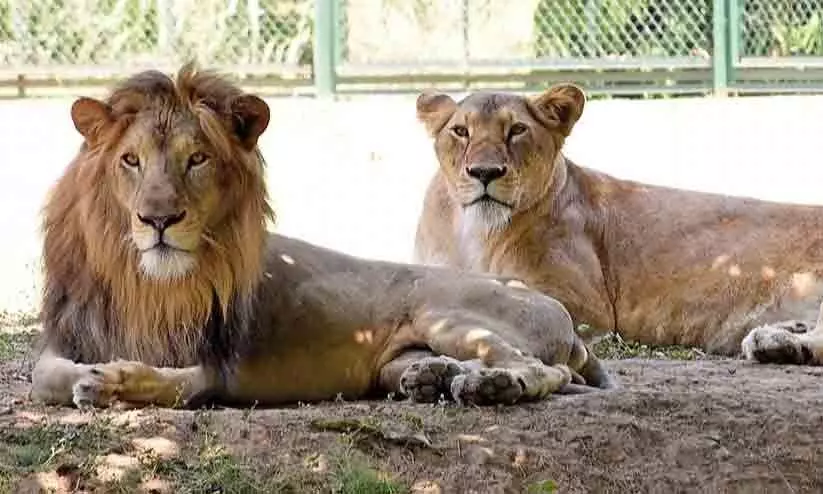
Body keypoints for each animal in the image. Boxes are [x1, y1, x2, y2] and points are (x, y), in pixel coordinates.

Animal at [28, 65, 616, 410]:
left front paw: (112, 382)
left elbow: (176, 384)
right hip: (403, 352)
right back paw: (432, 376)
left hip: (445, 312)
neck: (143, 282)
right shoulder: (65, 340)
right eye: (130, 160)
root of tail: (554, 309)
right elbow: (44, 375)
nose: (158, 220)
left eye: (197, 160)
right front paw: (91, 375)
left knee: (539, 369)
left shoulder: (220, 366)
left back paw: (487, 386)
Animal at [412, 84, 823, 366]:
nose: (484, 172)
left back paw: (777, 344)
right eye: (461, 131)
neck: (473, 232)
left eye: (516, 130)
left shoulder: (589, 308)